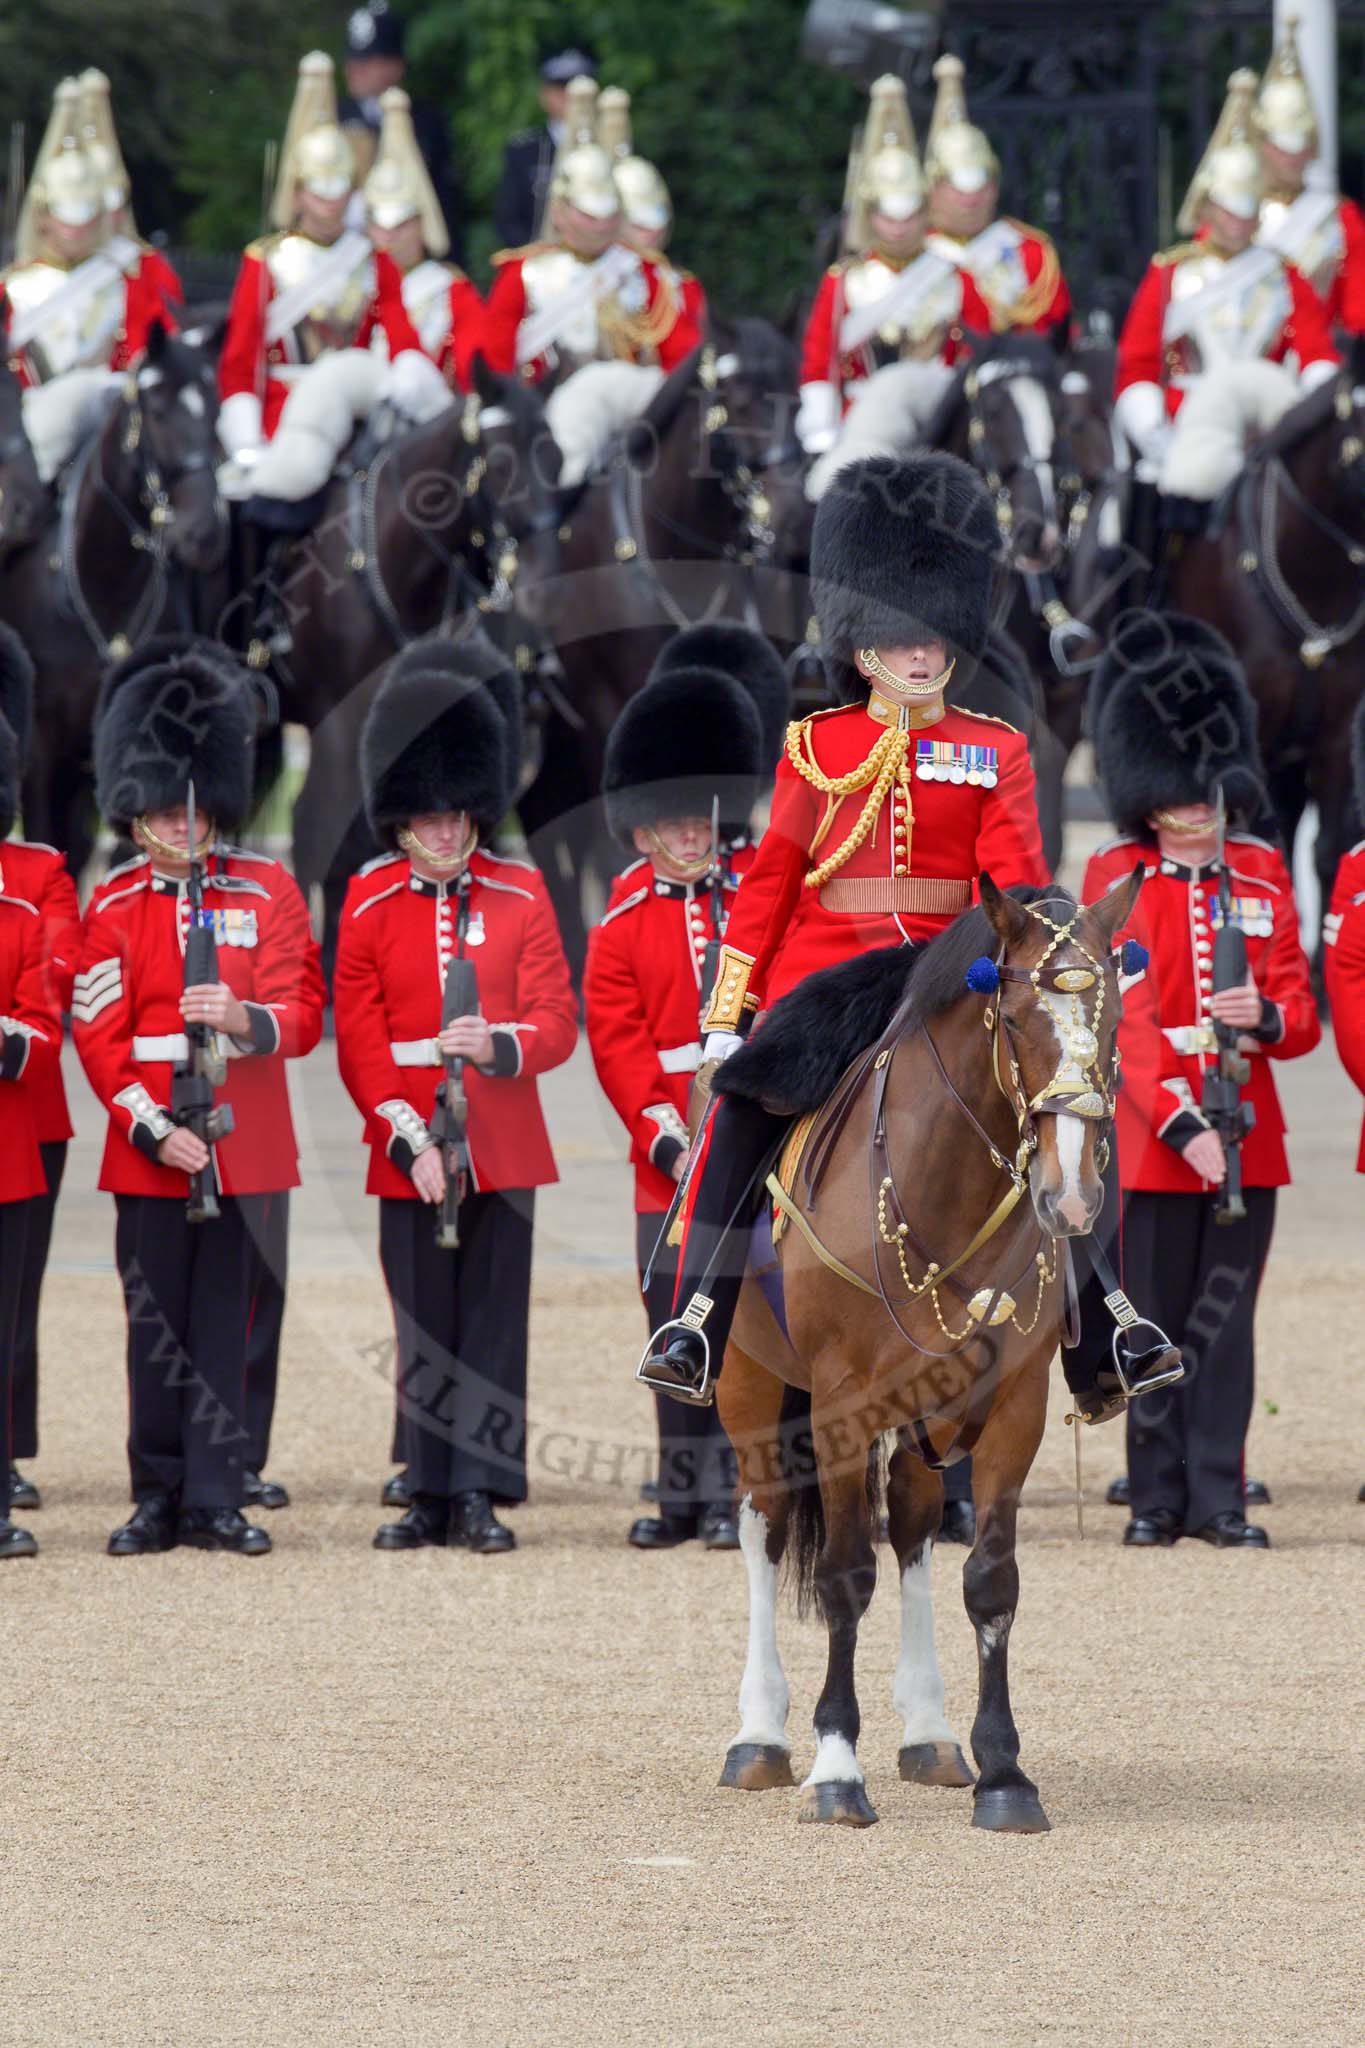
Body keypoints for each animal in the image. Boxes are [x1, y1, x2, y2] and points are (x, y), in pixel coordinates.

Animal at [716, 872, 1146, 1835]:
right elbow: (843, 1574)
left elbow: (989, 1580)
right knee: (764, 1526)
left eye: (1110, 1024)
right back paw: (759, 1734)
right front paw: (836, 1770)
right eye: (1014, 1019)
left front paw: (1005, 1774)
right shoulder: (837, 1403)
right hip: (751, 1388)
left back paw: (928, 1734)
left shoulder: (1014, 1404)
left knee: (911, 1530)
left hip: (921, 1415)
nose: (1070, 1198)